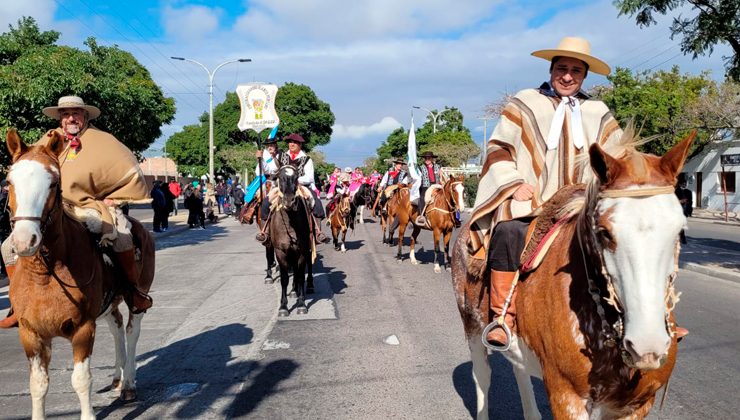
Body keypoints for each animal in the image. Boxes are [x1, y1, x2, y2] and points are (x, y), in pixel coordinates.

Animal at [3, 130, 155, 418]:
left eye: (53, 182)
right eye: (8, 181)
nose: (24, 241)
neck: (46, 274)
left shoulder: (83, 329)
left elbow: (81, 379)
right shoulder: (30, 333)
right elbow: (38, 384)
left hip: (136, 297)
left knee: (132, 331)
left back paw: (129, 382)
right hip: (107, 305)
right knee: (117, 327)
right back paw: (118, 378)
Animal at [448, 132, 696, 420]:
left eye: (680, 230)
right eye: (604, 232)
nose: (648, 344)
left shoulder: (637, 405)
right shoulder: (567, 397)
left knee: (519, 371)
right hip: (471, 326)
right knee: (482, 376)